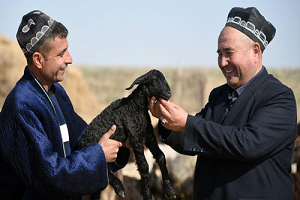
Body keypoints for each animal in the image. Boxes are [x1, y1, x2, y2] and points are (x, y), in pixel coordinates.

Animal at [81, 69, 177, 199]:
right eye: (155, 81)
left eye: (164, 78)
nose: (168, 93)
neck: (135, 106)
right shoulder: (135, 136)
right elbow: (144, 166)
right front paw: (147, 195)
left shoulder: (148, 134)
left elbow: (161, 157)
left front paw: (170, 190)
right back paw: (120, 188)